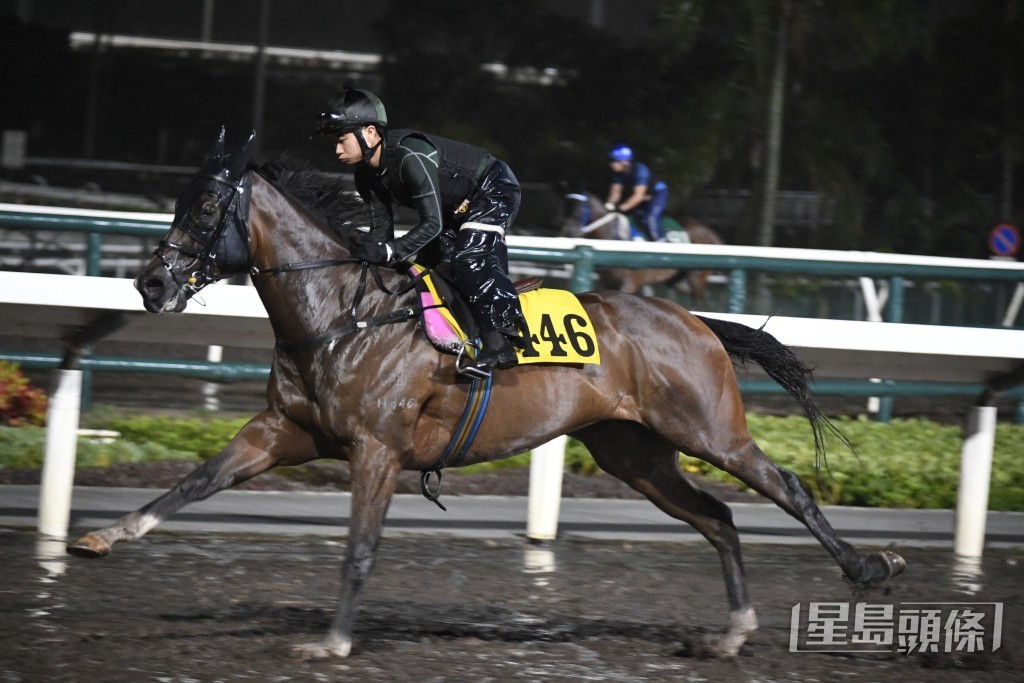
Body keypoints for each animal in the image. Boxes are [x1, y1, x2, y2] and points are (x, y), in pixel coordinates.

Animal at [561, 192, 729, 309]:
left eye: (577, 210)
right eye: (565, 209)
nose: (567, 231)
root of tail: (710, 233)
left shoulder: (630, 282)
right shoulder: (608, 281)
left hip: (696, 276)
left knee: (699, 300)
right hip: (679, 281)